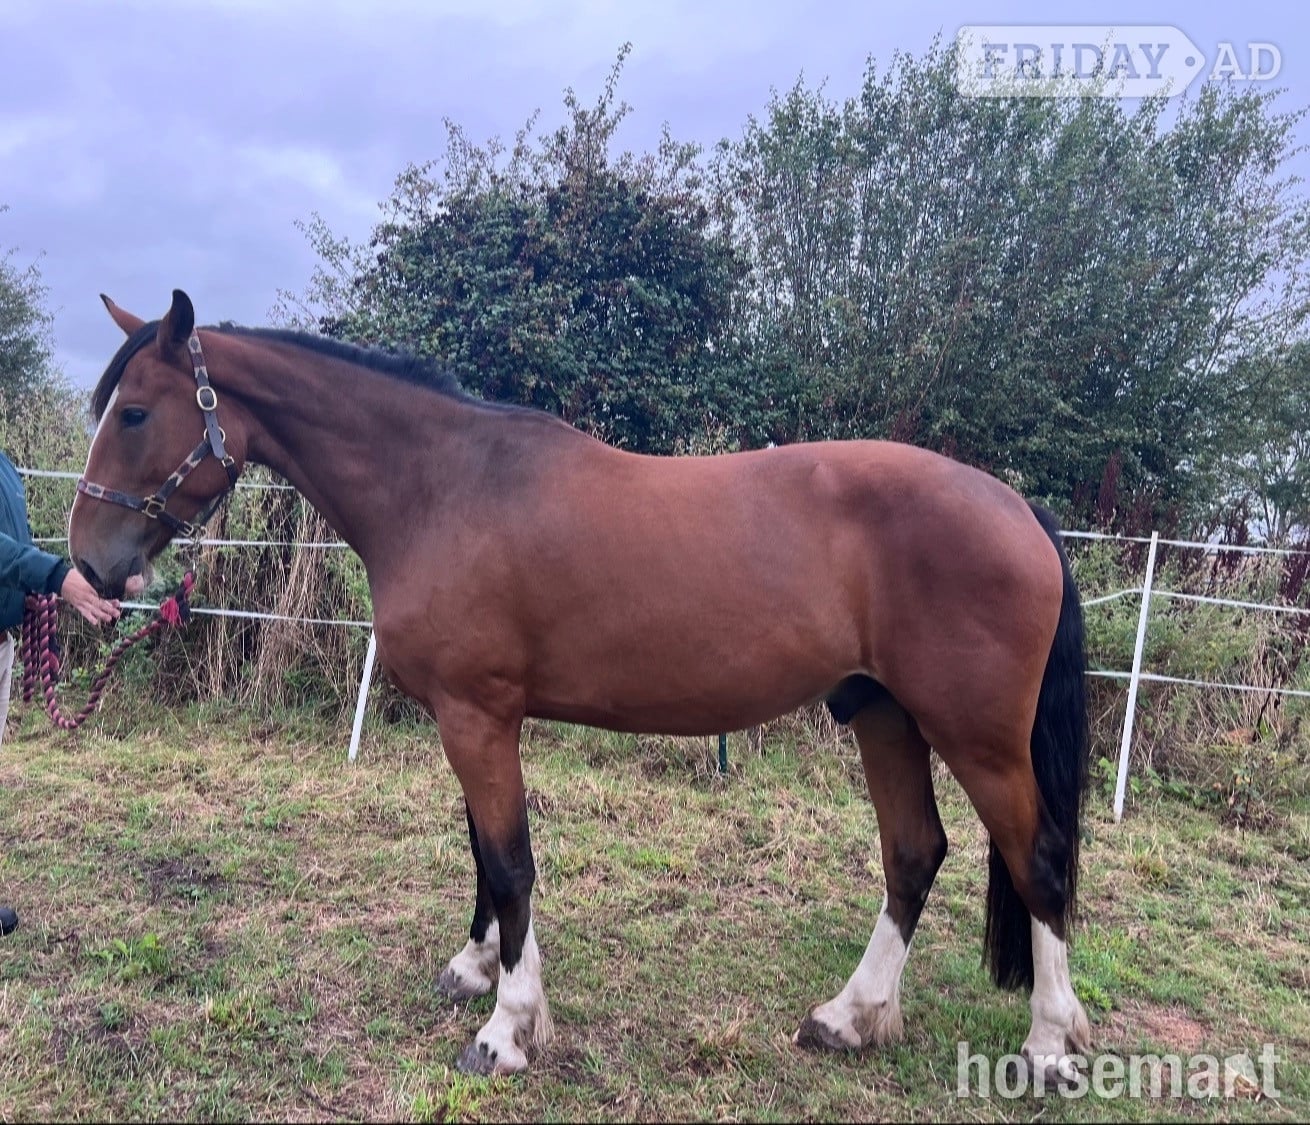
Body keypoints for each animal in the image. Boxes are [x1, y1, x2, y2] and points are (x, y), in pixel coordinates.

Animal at [68, 289, 1092, 1083]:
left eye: (135, 413)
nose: (88, 562)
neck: (443, 487)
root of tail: (1019, 510)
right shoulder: (472, 719)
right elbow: (483, 852)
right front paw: (476, 966)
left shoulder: (478, 716)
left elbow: (510, 861)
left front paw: (507, 1029)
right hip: (883, 714)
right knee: (914, 853)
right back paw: (848, 1015)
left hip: (976, 735)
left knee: (1036, 860)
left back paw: (1048, 1045)